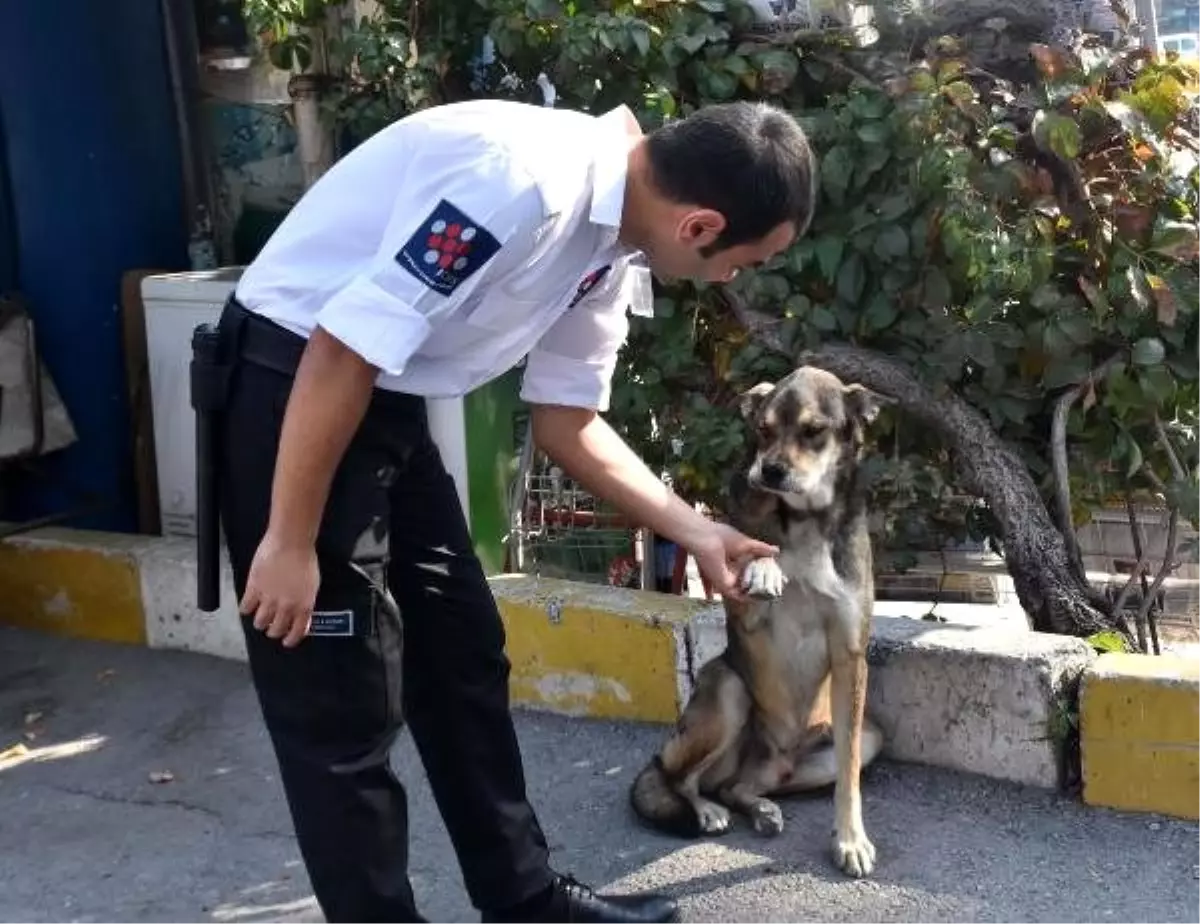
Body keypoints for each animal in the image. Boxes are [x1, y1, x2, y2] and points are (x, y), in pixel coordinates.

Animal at [633, 364, 888, 873]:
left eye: (813, 431)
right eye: (764, 431)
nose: (768, 471)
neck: (807, 520)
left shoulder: (851, 655)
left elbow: (848, 777)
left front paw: (850, 839)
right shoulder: (745, 612)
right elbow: (757, 549)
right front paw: (767, 566)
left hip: (857, 741)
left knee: (737, 787)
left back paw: (762, 808)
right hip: (728, 693)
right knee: (683, 779)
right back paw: (706, 810)